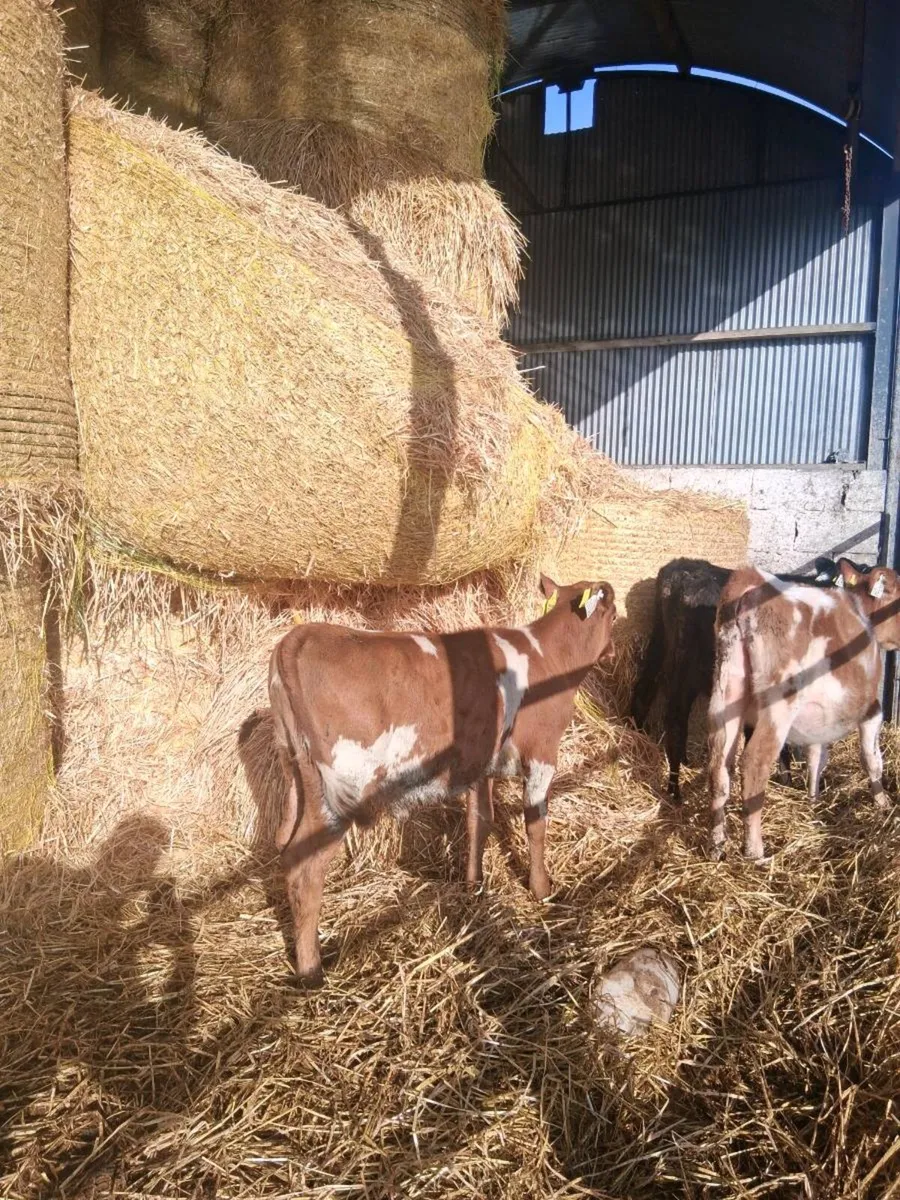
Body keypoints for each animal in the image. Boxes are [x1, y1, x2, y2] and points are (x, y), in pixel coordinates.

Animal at [268, 575, 616, 983]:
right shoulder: (543, 755)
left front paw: (474, 886)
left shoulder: (480, 764)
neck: (548, 656)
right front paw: (542, 889)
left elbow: (479, 822)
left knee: (288, 854)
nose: (613, 652)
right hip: (338, 792)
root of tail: (301, 636)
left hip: (299, 778)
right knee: (305, 872)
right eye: (613, 613)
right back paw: (311, 971)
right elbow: (536, 827)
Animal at [629, 556, 863, 803]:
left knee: (644, 689)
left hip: (661, 643)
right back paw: (674, 789)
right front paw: (786, 780)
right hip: (685, 668)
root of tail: (681, 570)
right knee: (675, 718)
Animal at [708, 557, 900, 862]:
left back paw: (716, 845)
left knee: (719, 765)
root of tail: (749, 580)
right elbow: (872, 759)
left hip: (726, 694)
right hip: (779, 705)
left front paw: (813, 798)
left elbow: (815, 756)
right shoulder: (872, 708)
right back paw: (756, 852)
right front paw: (882, 802)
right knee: (754, 763)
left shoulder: (819, 717)